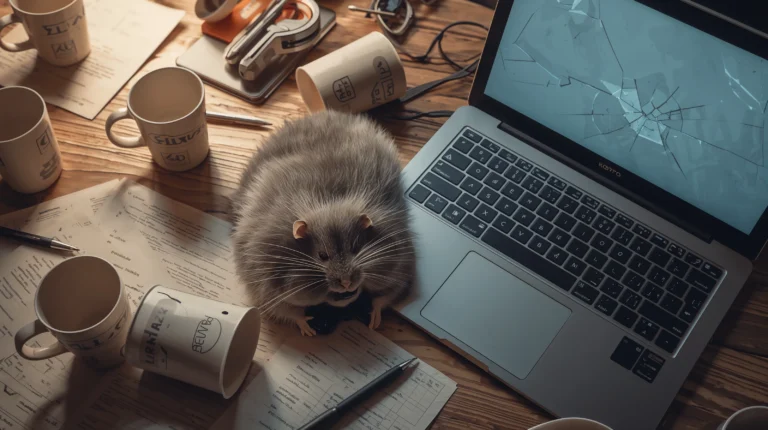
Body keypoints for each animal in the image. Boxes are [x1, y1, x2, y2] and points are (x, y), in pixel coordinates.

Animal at [230, 111, 415, 335]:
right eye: (322, 255)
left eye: (356, 248)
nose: (346, 283)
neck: (328, 203)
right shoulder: (266, 289)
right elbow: (289, 312)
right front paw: (308, 327)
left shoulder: (400, 270)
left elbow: (382, 299)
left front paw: (373, 319)